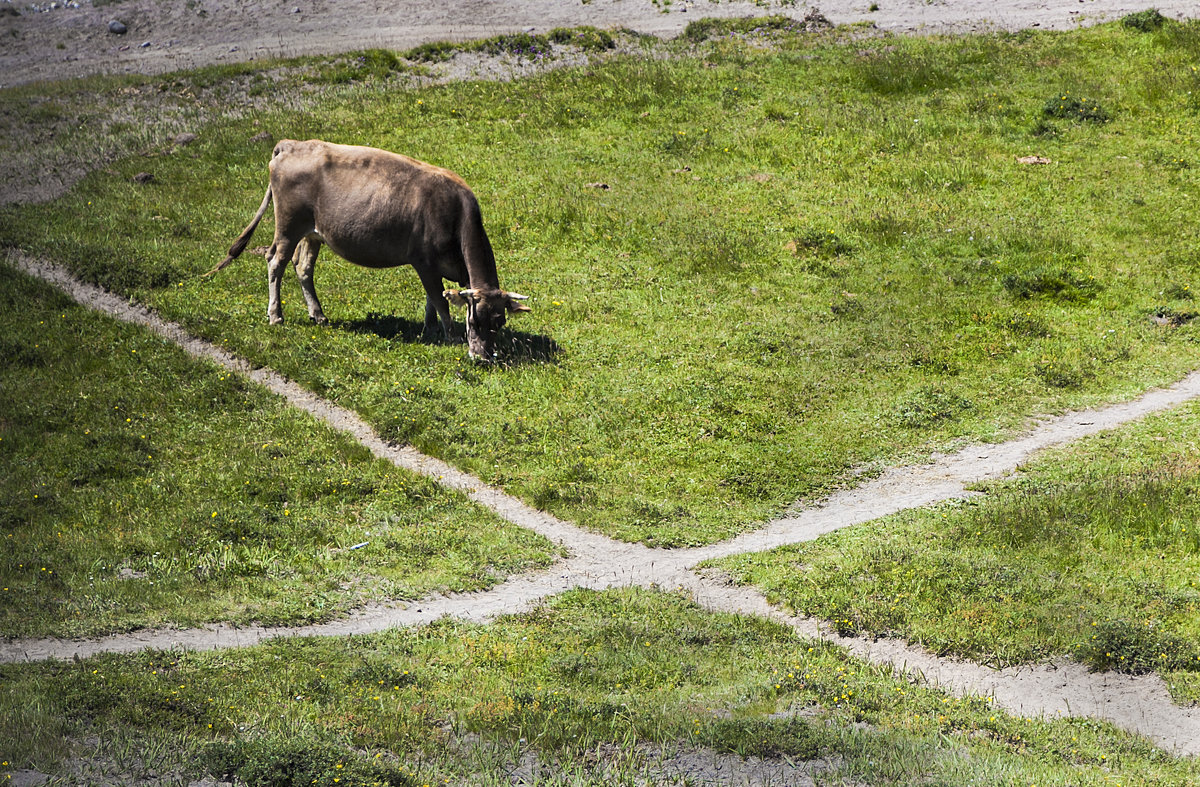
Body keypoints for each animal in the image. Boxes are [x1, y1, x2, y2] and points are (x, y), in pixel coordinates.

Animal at [210, 139, 530, 362]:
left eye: (500, 322)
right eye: (473, 321)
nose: (483, 357)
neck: (455, 215)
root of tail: (289, 145)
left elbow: (432, 299)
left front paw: (430, 330)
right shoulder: (424, 261)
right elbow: (439, 300)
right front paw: (449, 335)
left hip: (312, 232)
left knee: (303, 267)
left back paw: (318, 314)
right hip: (288, 225)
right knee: (276, 260)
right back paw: (276, 315)